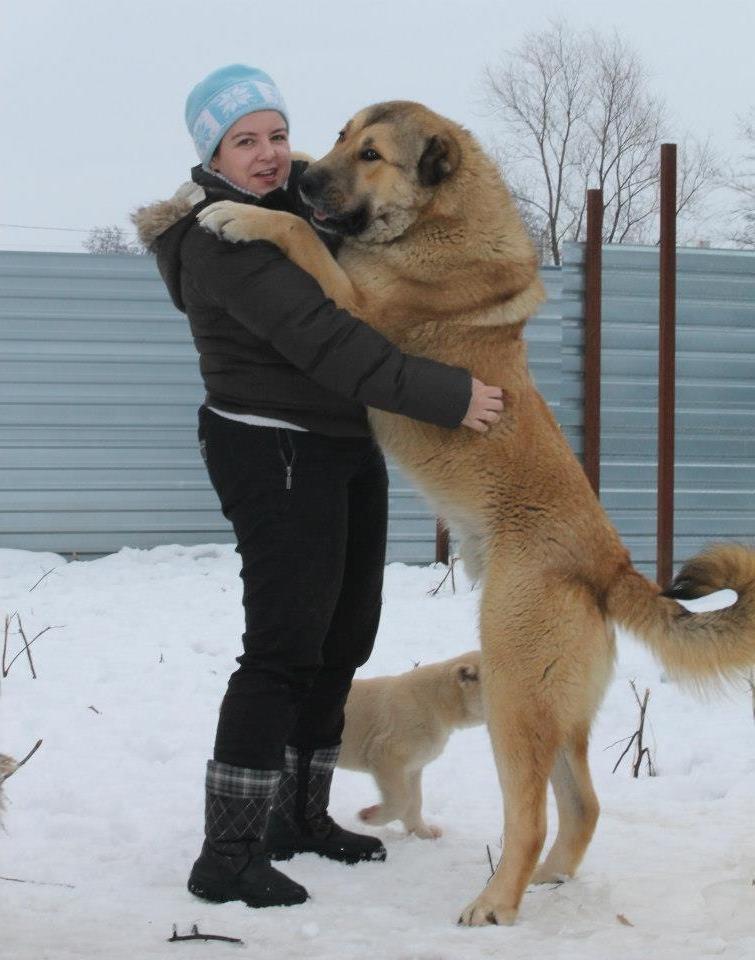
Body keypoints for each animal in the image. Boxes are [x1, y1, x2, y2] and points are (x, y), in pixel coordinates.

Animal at [198, 101, 755, 928]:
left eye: (370, 154)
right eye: (338, 136)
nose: (300, 176)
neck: (436, 223)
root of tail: (608, 564)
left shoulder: (359, 312)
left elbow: (300, 239)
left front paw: (242, 214)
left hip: (512, 694)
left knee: (530, 815)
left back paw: (495, 904)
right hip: (551, 708)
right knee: (582, 805)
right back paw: (550, 879)